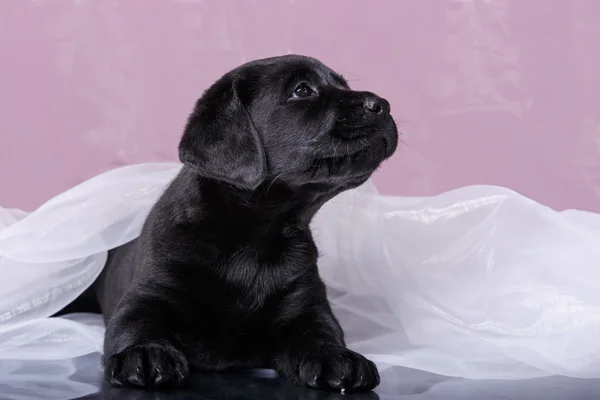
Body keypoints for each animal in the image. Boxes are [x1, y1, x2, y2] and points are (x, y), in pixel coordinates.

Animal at [86, 54, 396, 394]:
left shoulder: (306, 305)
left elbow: (322, 330)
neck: (255, 236)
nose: (382, 104)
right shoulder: (149, 290)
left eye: (344, 86)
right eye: (302, 90)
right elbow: (135, 322)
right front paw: (143, 353)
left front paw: (337, 357)